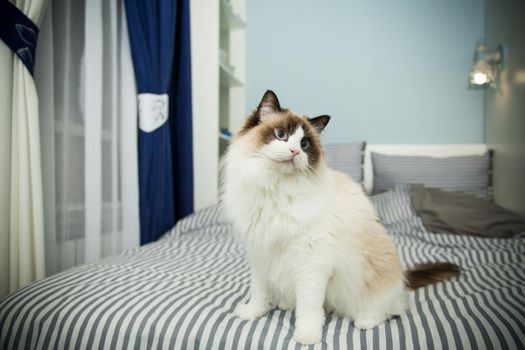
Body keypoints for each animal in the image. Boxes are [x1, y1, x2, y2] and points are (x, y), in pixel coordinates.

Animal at [221, 90, 458, 344]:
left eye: (304, 144)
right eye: (281, 135)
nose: (295, 152)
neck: (275, 190)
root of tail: (403, 277)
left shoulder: (311, 263)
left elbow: (308, 307)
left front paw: (307, 336)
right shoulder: (260, 254)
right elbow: (258, 293)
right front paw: (251, 313)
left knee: (386, 310)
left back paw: (365, 321)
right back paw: (285, 304)